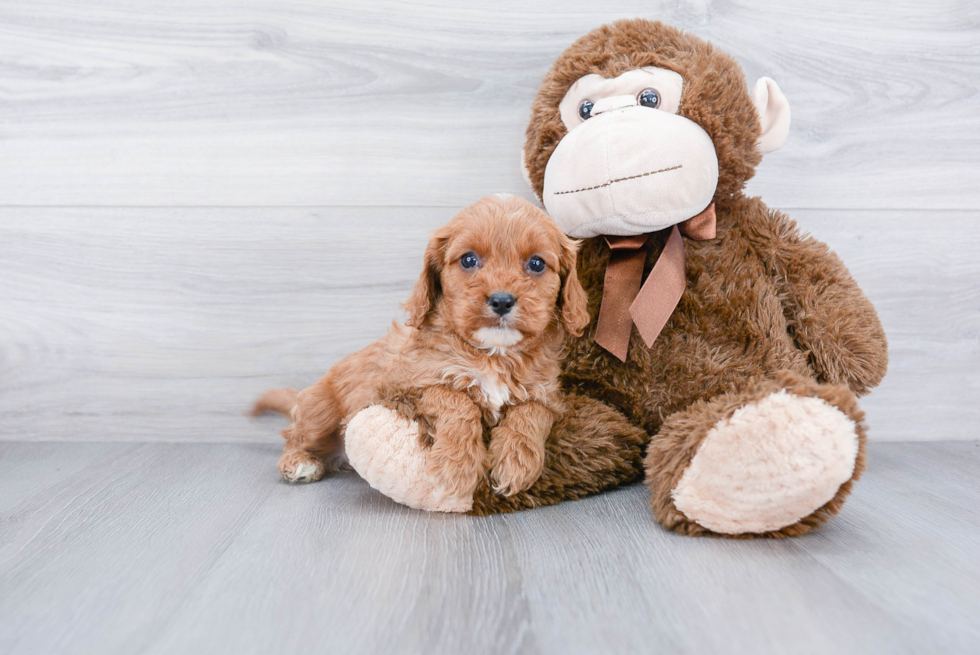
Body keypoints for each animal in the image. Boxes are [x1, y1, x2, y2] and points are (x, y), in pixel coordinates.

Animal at [255, 195, 588, 502]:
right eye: (468, 260)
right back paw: (299, 462)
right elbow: (455, 399)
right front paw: (457, 466)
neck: (494, 355)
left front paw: (517, 463)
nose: (502, 300)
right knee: (296, 436)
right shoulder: (403, 387)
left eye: (536, 263)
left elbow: (531, 412)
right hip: (320, 410)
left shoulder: (547, 394)